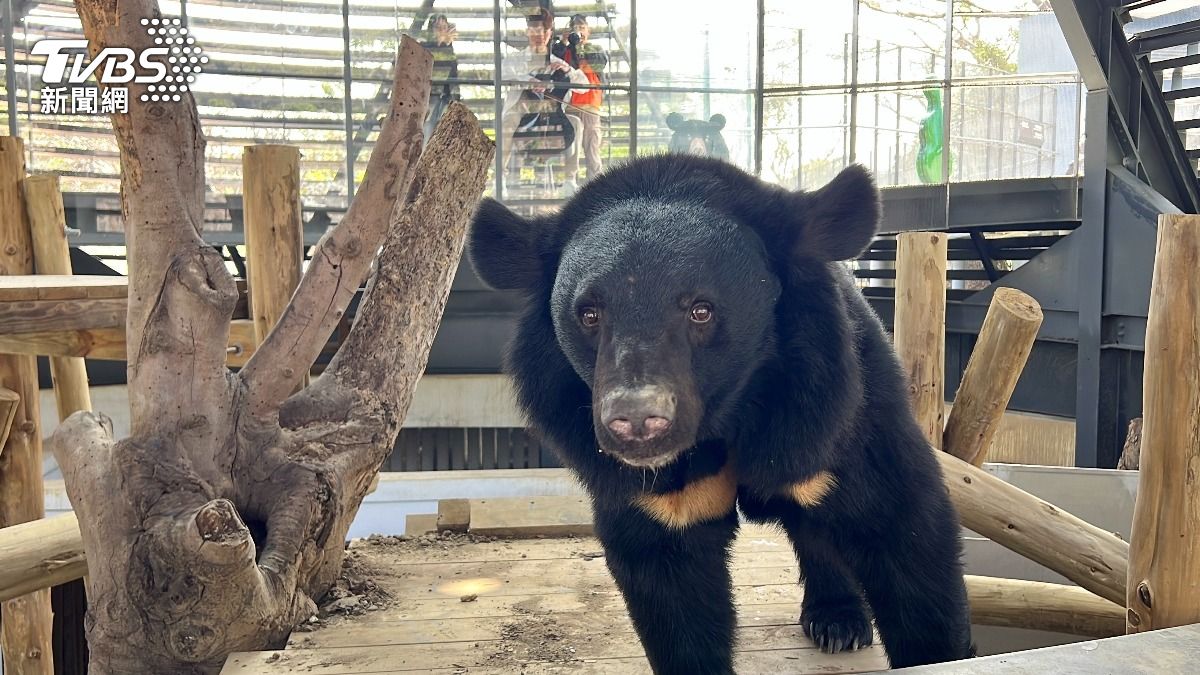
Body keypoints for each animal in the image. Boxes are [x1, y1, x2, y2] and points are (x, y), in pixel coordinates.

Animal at [466, 153, 974, 674]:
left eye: (701, 310)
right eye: (589, 314)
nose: (636, 422)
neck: (727, 413)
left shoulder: (832, 409)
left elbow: (903, 531)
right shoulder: (659, 495)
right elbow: (672, 584)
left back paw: (838, 622)